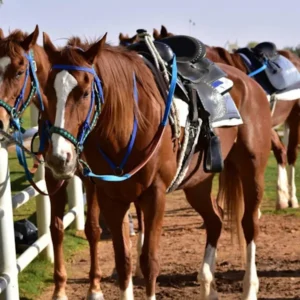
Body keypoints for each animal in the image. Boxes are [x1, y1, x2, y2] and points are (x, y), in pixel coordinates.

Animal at [0, 26, 103, 300]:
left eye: (19, 71)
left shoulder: (92, 179)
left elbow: (93, 228)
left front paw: (94, 287)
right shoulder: (54, 175)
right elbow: (55, 229)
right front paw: (60, 289)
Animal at [41, 28, 272, 300]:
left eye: (85, 93)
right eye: (47, 92)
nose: (58, 157)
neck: (129, 125)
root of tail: (249, 84)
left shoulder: (155, 196)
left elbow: (149, 261)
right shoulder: (112, 199)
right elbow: (124, 261)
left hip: (252, 171)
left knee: (249, 225)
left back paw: (249, 288)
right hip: (197, 183)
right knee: (215, 219)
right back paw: (208, 286)